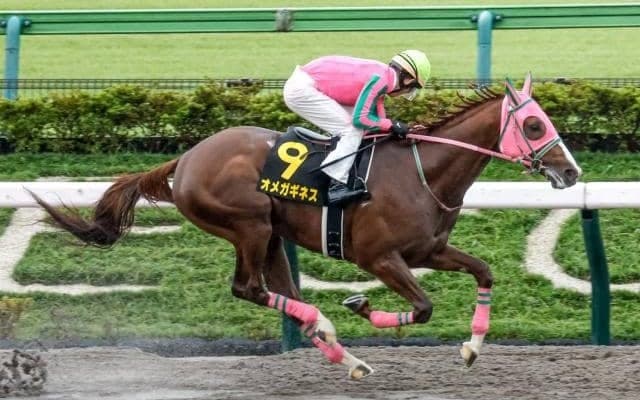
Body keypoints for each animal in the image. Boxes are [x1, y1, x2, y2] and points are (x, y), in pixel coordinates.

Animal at [31, 73, 581, 379]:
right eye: (535, 125)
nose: (571, 172)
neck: (423, 172)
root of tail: (185, 159)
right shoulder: (379, 258)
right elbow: (423, 308)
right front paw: (362, 305)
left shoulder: (428, 251)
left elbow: (484, 272)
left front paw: (470, 348)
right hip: (248, 226)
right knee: (249, 288)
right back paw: (331, 325)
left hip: (273, 234)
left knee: (281, 293)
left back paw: (344, 354)